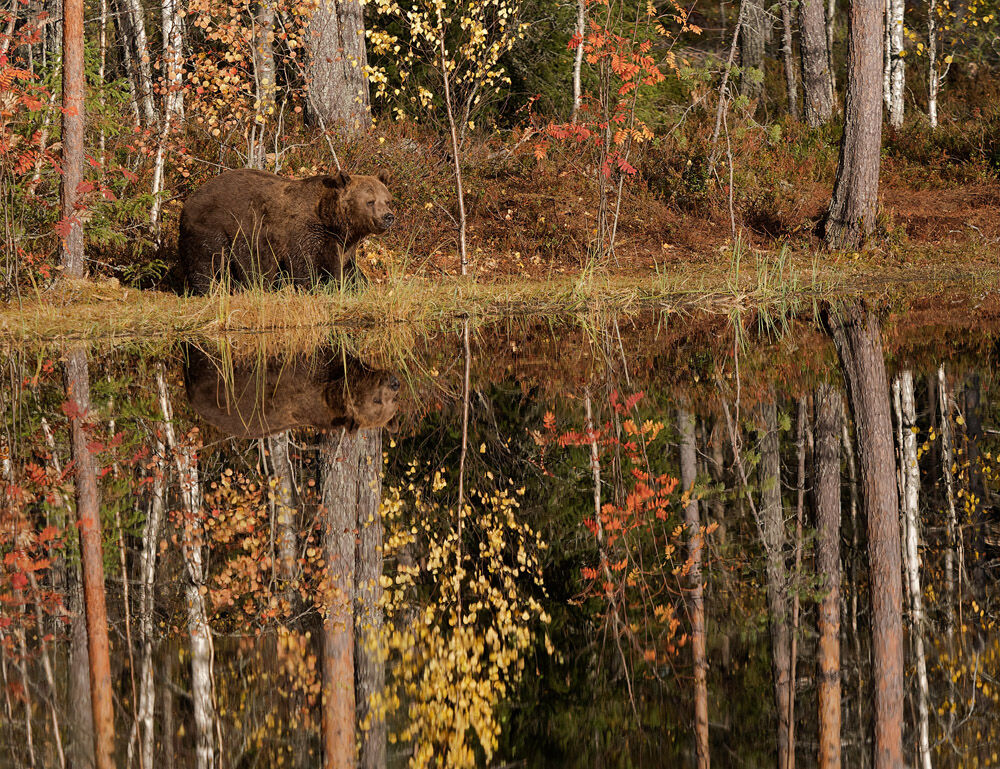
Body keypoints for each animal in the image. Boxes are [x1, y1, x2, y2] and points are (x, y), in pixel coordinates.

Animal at [177, 168, 394, 293]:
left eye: (387, 200)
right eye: (370, 201)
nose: (388, 217)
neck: (329, 218)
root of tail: (189, 199)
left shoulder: (340, 241)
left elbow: (346, 267)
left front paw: (356, 286)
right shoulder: (301, 232)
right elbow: (303, 264)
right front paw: (313, 287)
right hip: (214, 227)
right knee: (206, 261)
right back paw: (207, 289)